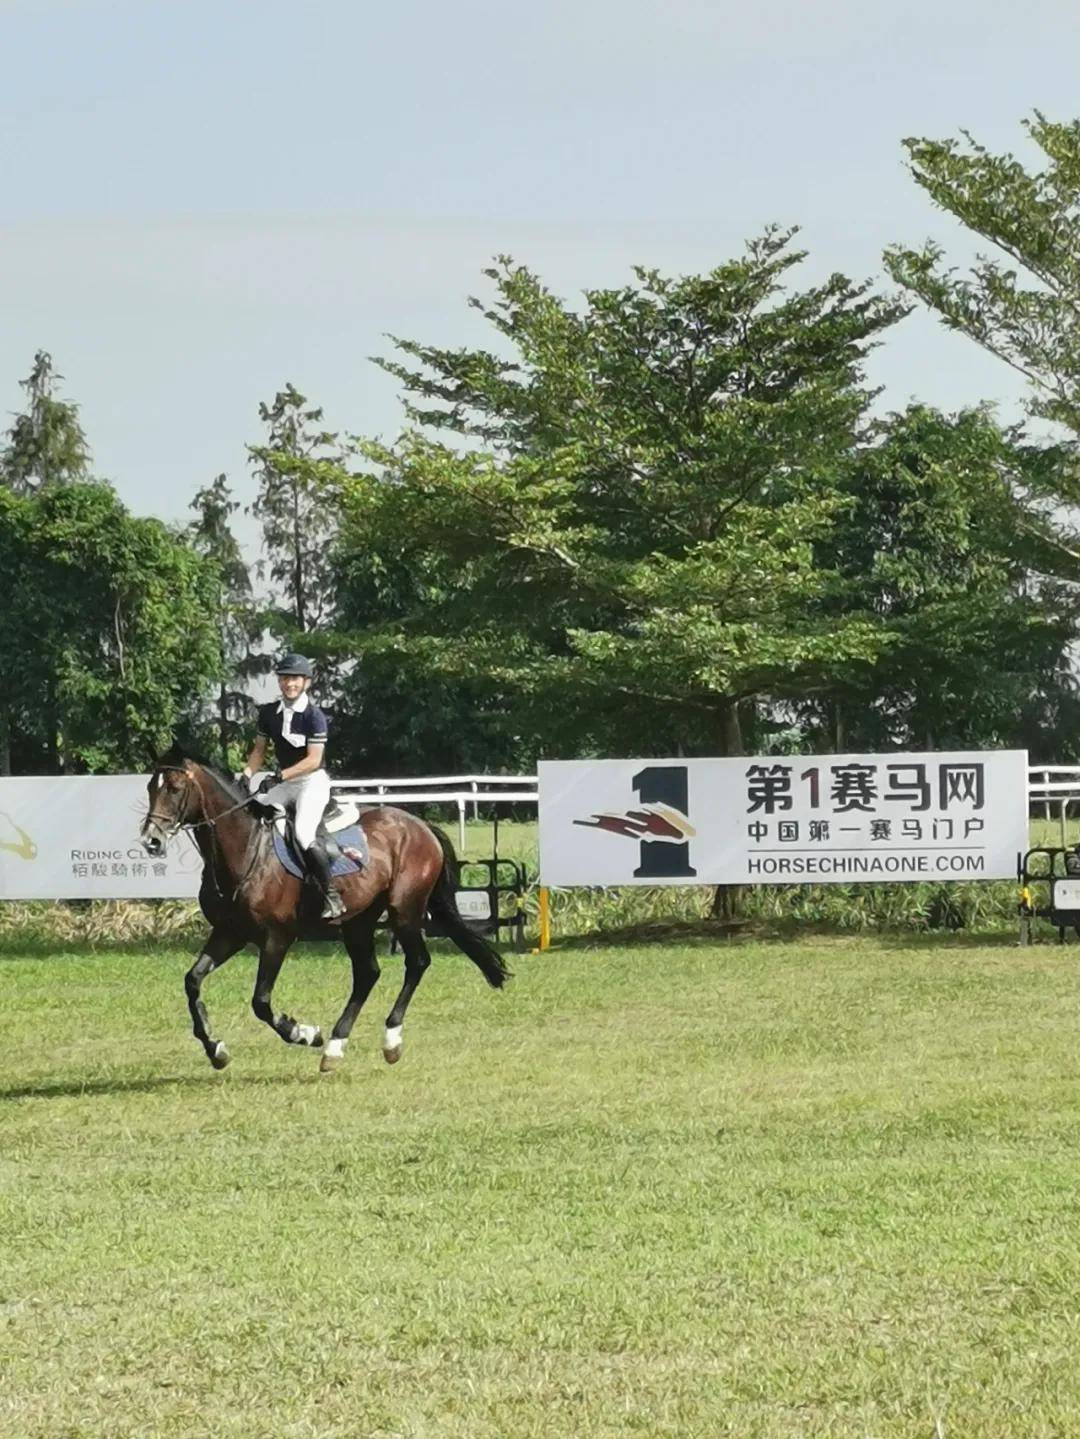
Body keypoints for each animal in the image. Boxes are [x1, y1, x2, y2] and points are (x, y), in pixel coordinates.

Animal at [139, 748, 511, 1076]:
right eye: (150, 788)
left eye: (174, 789)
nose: (151, 841)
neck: (245, 850)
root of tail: (419, 825)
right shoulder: (229, 933)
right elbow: (193, 981)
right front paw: (216, 1049)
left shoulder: (276, 939)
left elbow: (261, 1002)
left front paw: (302, 1033)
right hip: (358, 921)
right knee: (367, 974)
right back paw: (335, 1047)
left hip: (404, 910)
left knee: (416, 963)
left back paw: (389, 1041)